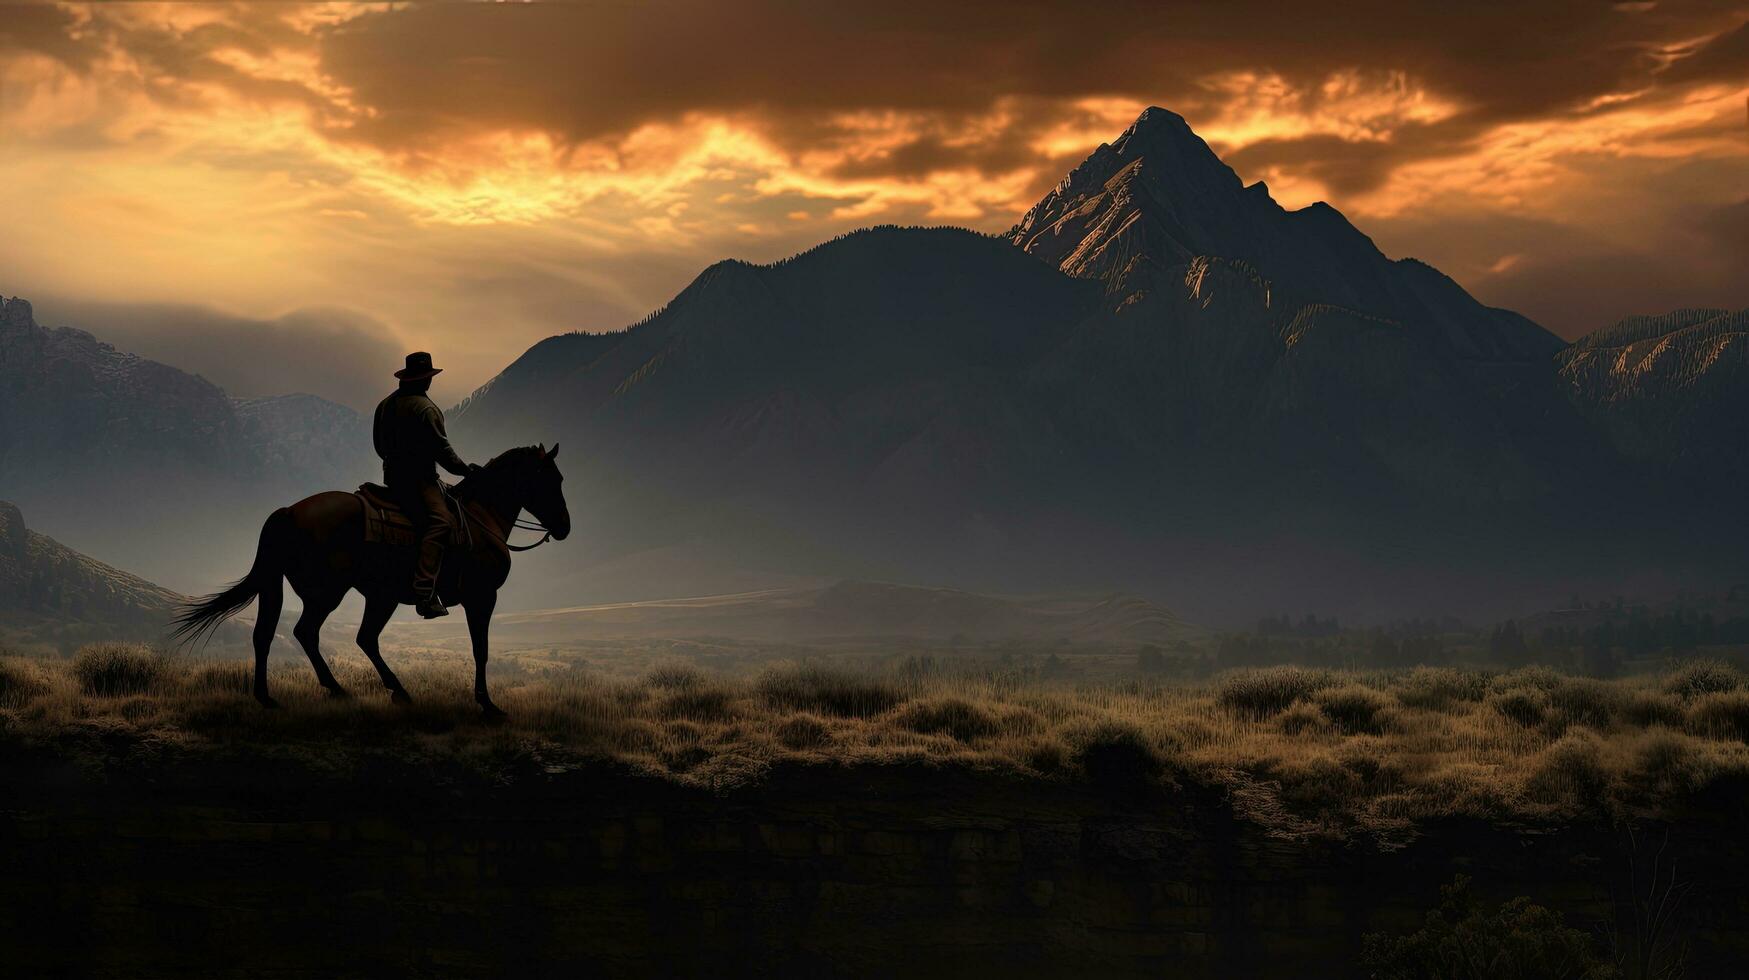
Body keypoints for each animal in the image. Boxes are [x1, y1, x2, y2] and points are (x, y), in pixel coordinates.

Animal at [170, 441, 570, 717]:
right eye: (551, 479)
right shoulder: (482, 597)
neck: (480, 516)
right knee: (307, 632)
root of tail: (288, 511)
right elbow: (481, 650)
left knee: (280, 635)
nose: (564, 527)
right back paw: (340, 689)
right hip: (329, 593)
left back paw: (273, 697)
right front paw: (489, 706)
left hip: (368, 595)